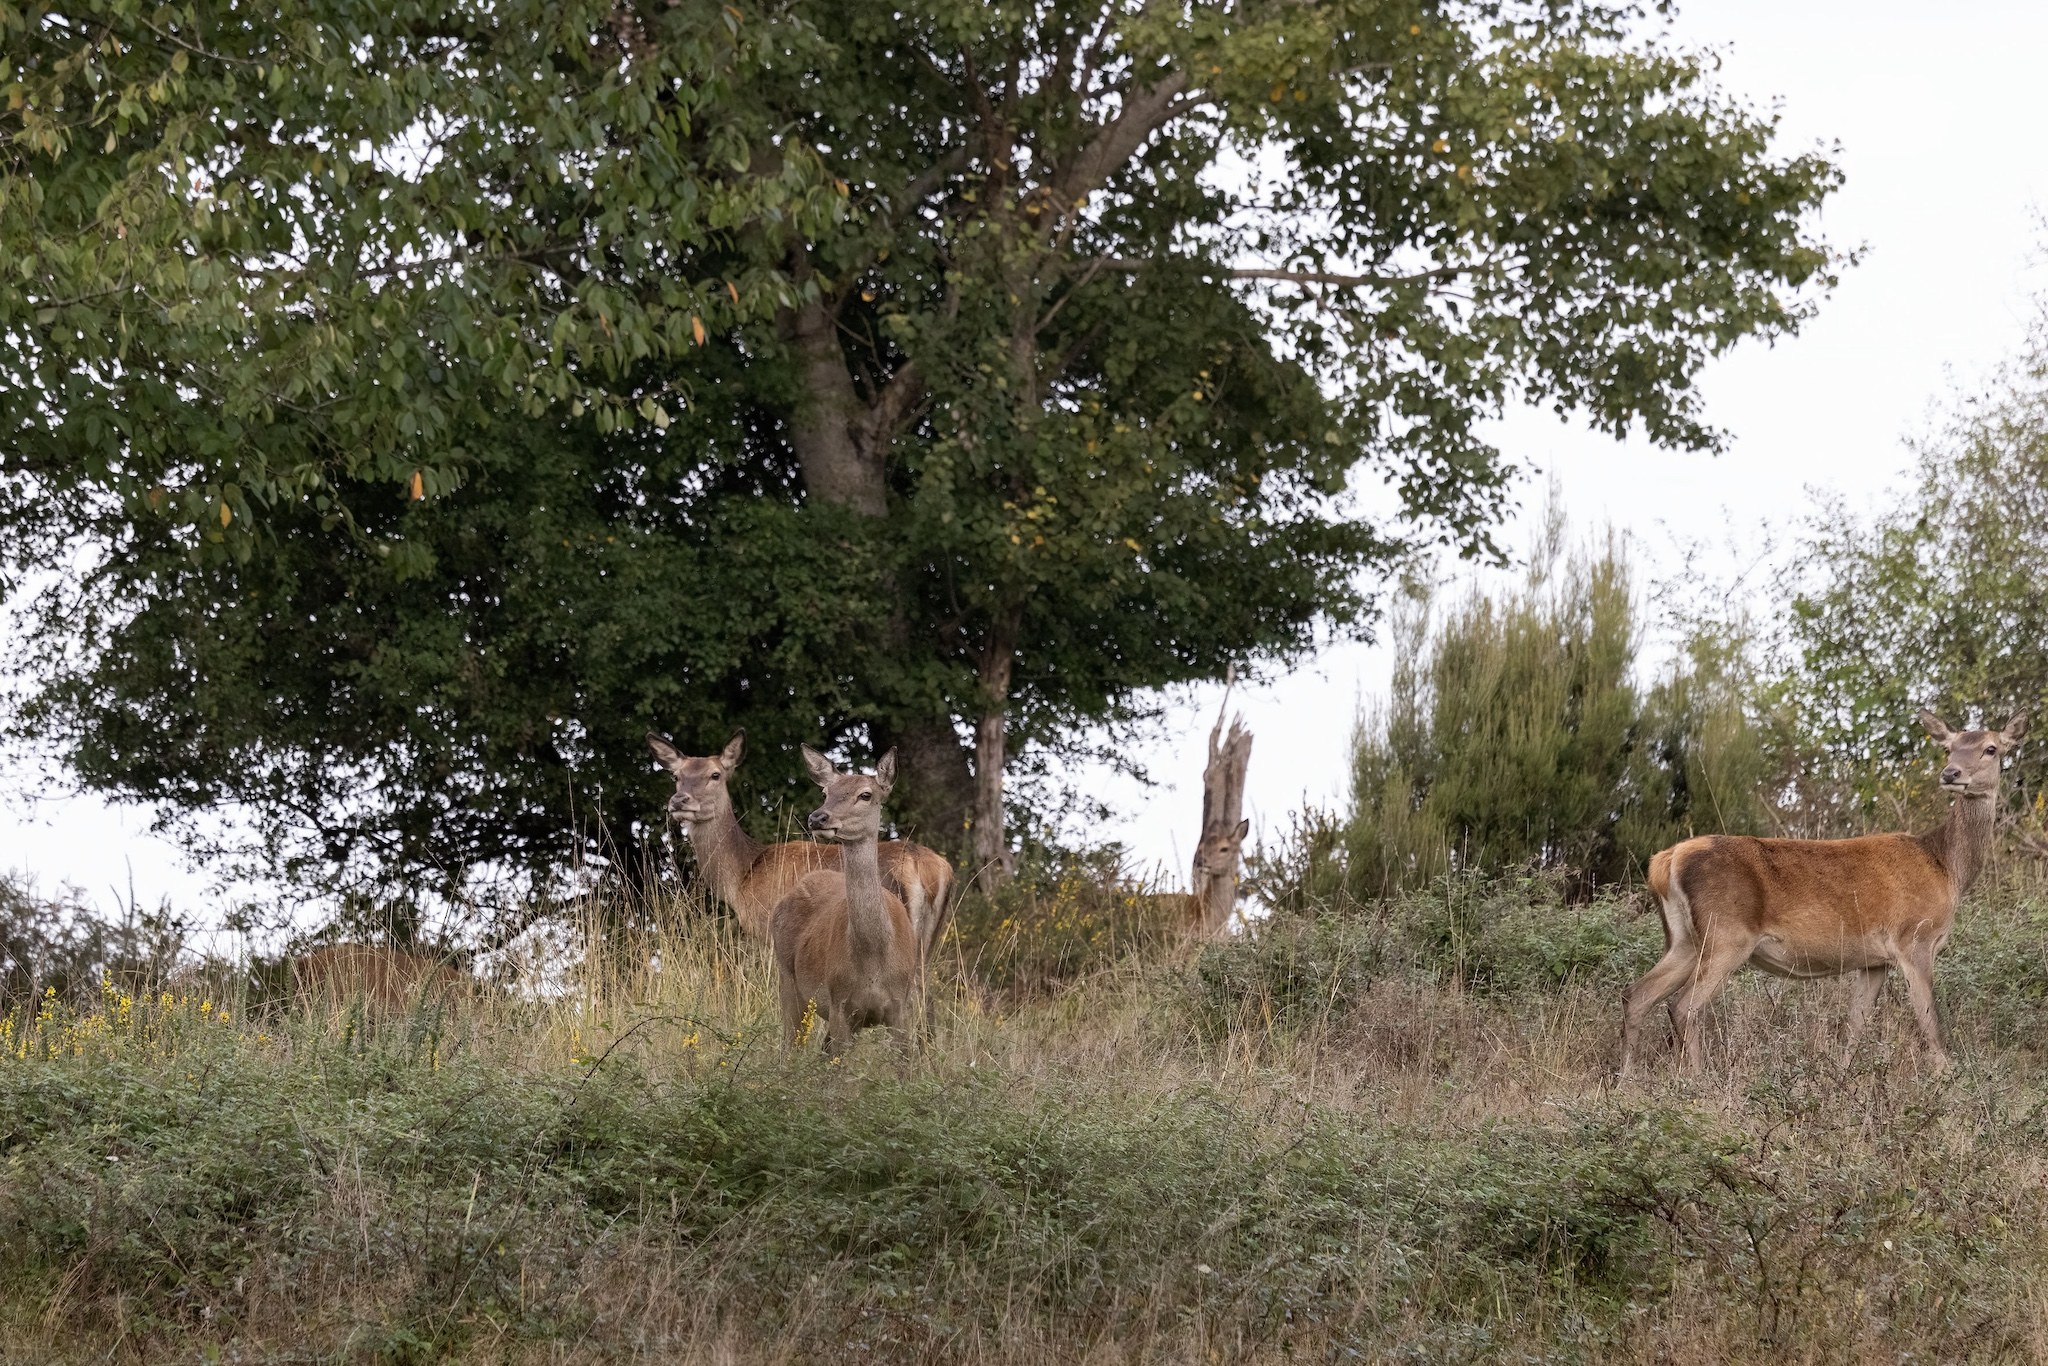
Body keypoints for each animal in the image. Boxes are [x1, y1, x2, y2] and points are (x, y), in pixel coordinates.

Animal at [646, 730, 955, 959]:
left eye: (715, 775)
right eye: (677, 776)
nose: (680, 800)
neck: (743, 876)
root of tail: (927, 867)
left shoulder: (767, 929)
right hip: (930, 938)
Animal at [771, 746, 919, 1054]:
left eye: (866, 795)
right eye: (826, 792)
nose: (818, 818)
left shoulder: (901, 1006)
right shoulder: (839, 1003)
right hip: (787, 977)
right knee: (790, 1047)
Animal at [1620, 709, 2027, 1076]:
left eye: (1990, 748)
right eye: (1948, 748)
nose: (1951, 774)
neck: (1946, 867)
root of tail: (1665, 862)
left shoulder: (1873, 960)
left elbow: (1855, 1025)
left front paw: (1841, 1076)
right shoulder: (1914, 938)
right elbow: (1930, 1023)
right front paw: (1948, 1081)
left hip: (1684, 939)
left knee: (1637, 995)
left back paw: (1627, 1081)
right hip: (1727, 934)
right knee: (1683, 1005)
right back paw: (1697, 1080)